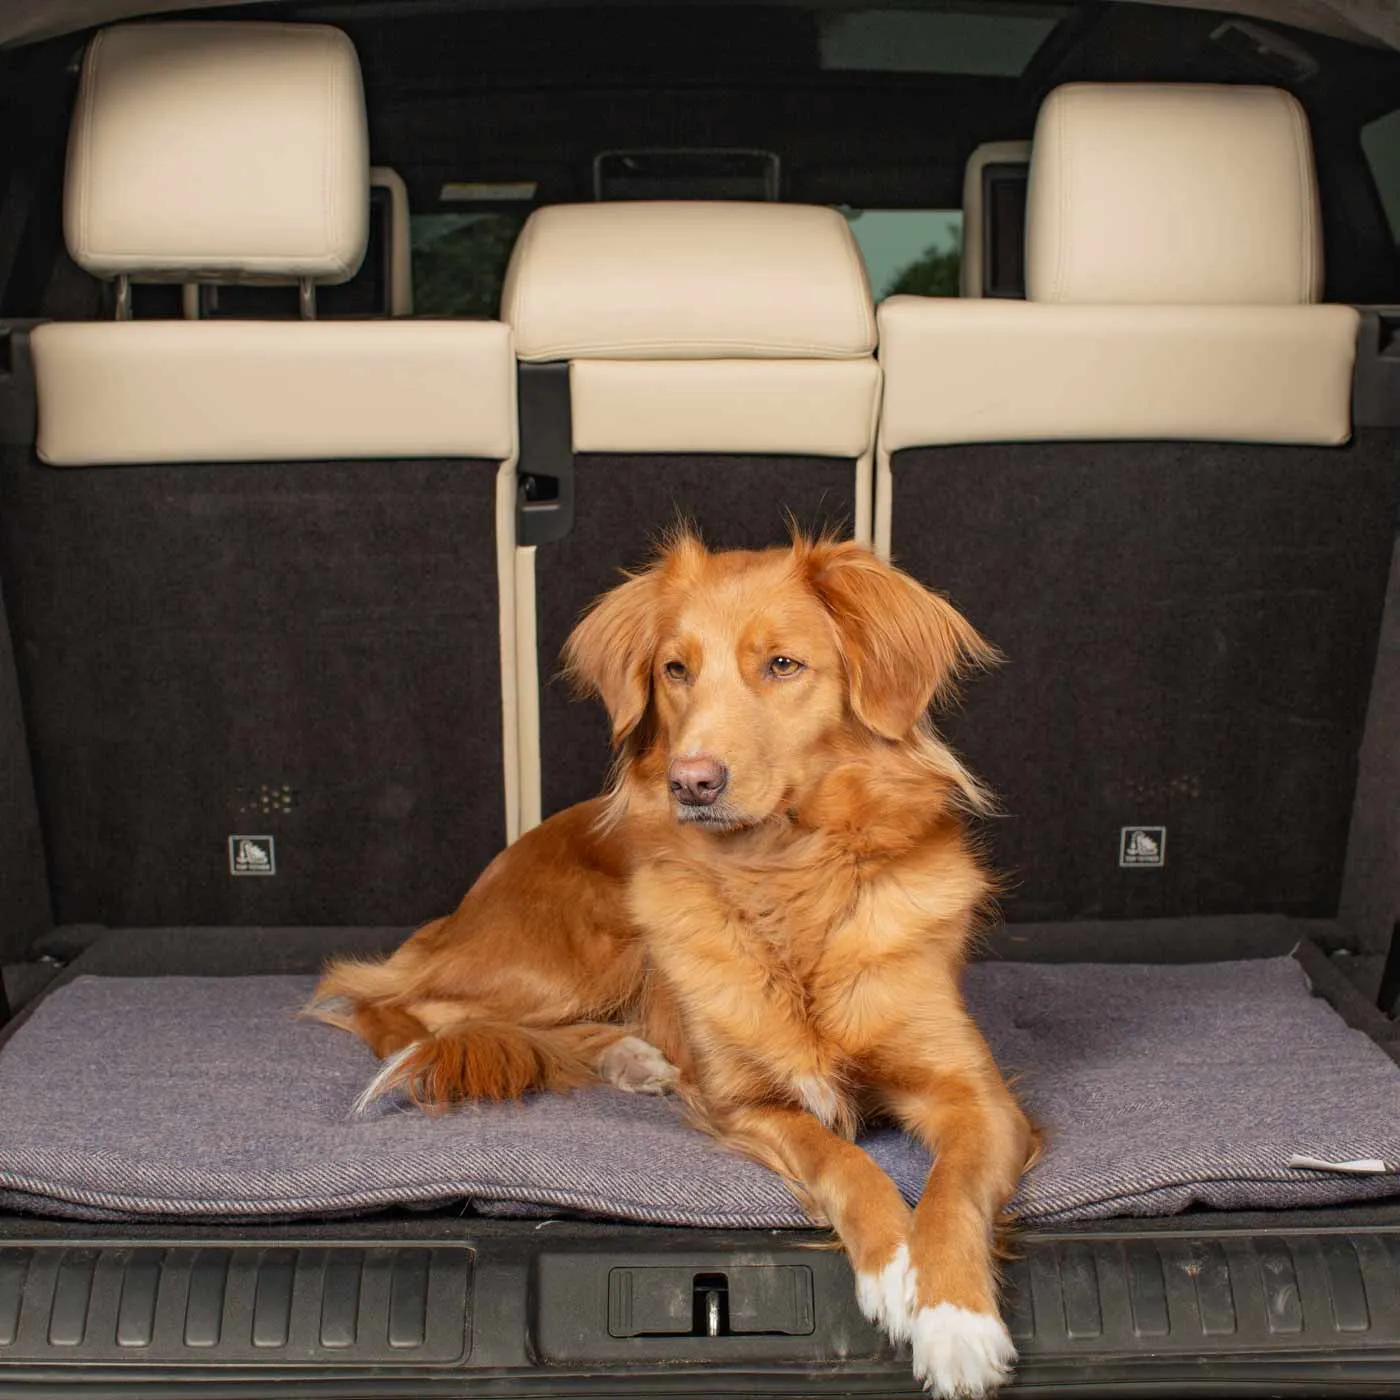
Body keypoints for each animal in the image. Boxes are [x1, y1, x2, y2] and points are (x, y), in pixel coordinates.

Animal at [315, 534, 1041, 1400]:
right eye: (675, 669)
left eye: (783, 665)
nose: (691, 781)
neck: (784, 876)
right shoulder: (742, 1101)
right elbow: (842, 1159)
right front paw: (895, 1265)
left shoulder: (979, 1096)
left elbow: (951, 1191)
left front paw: (955, 1316)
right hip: (579, 949)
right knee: (415, 1007)